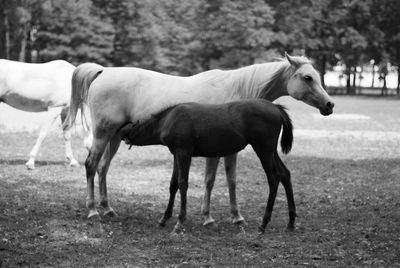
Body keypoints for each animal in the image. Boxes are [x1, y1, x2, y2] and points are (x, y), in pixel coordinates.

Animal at [120, 99, 296, 233]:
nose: (122, 139)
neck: (169, 119)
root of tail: (276, 108)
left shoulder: (184, 152)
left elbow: (183, 184)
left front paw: (179, 222)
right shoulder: (176, 154)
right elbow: (173, 184)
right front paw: (164, 219)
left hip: (263, 149)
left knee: (273, 179)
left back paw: (264, 223)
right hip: (271, 151)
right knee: (285, 174)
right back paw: (291, 222)